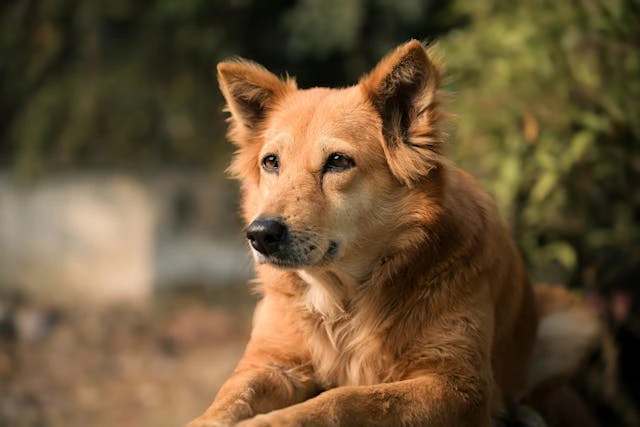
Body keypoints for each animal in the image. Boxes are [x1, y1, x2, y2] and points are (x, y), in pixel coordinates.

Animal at [190, 41, 600, 427]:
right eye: (271, 162)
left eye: (337, 161)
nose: (260, 234)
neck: (344, 301)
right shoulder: (272, 363)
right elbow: (233, 394)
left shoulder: (458, 386)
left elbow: (345, 400)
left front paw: (274, 421)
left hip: (574, 321)